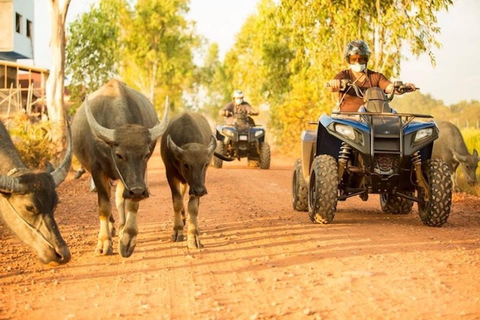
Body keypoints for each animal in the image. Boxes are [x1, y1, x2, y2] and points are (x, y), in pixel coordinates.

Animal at [71, 80, 169, 258]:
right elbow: (104, 206)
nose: (138, 191)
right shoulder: (97, 171)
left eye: (145, 154)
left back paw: (122, 226)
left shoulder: (134, 177)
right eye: (119, 155)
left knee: (119, 199)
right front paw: (104, 242)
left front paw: (127, 238)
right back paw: (112, 228)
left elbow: (130, 204)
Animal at [160, 112, 215, 250]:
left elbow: (193, 207)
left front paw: (194, 236)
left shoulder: (198, 183)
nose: (200, 191)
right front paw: (177, 231)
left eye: (206, 164)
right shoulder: (170, 175)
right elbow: (177, 202)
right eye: (186, 164)